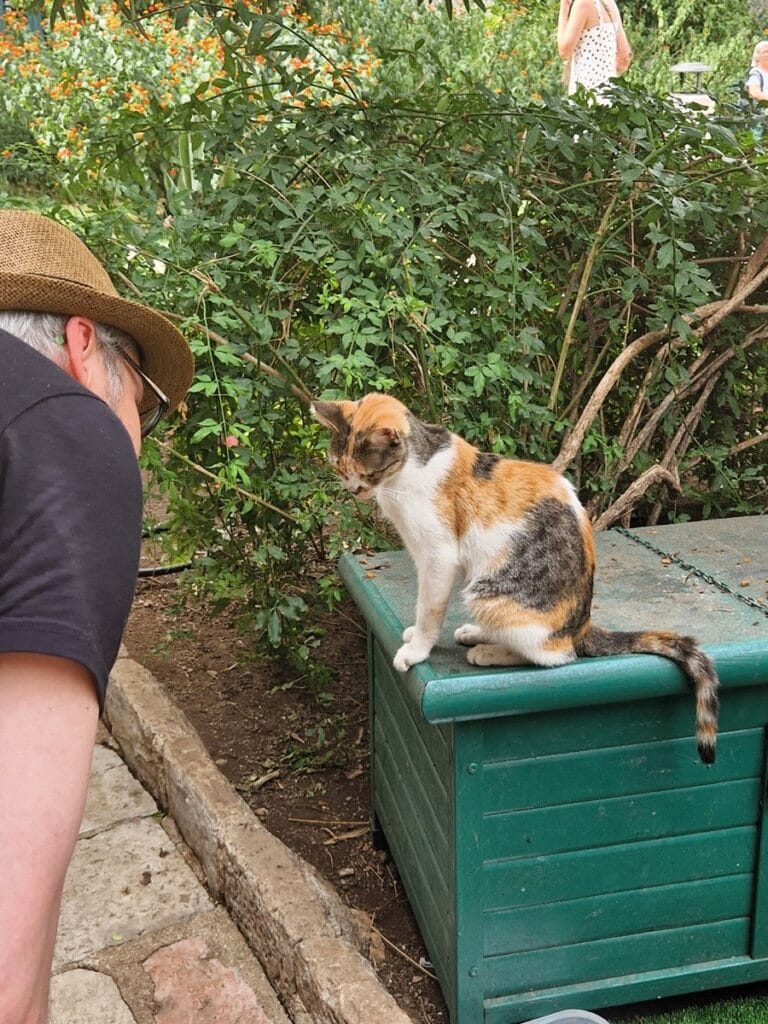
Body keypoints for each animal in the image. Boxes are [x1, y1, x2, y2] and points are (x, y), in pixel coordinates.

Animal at [313, 395, 720, 765]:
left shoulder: (438, 557)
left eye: (366, 472)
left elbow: (429, 608)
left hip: (487, 593)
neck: (410, 469)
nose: (353, 490)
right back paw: (476, 633)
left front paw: (416, 650)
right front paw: (415, 635)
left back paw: (488, 651)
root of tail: (583, 625)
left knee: (554, 656)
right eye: (339, 467)